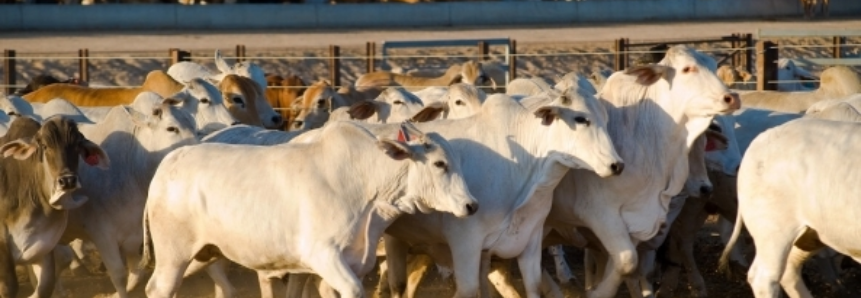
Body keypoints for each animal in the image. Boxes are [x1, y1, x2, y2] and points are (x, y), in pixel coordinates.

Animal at [0, 116, 109, 298]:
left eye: (77, 145)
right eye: (44, 146)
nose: (68, 180)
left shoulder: (44, 246)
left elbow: (45, 286)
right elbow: (10, 287)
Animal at [140, 121, 478, 298]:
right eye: (439, 164)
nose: (471, 205)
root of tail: (167, 165)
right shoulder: (324, 256)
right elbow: (353, 290)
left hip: (202, 253)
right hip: (174, 254)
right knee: (160, 288)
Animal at [544, 44, 740, 298]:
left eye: (715, 66)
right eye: (687, 68)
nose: (732, 97)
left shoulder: (637, 227)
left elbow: (626, 268)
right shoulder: (599, 215)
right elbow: (626, 263)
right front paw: (594, 291)